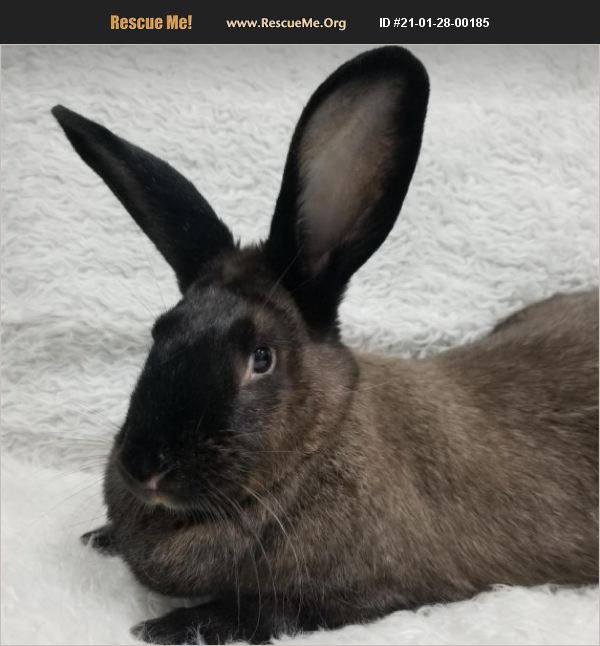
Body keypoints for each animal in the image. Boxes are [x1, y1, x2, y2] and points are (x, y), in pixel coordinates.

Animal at [52, 46, 598, 645]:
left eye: (261, 358)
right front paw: (100, 537)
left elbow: (263, 612)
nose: (144, 466)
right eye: (160, 331)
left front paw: (169, 625)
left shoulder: (357, 594)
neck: (322, 440)